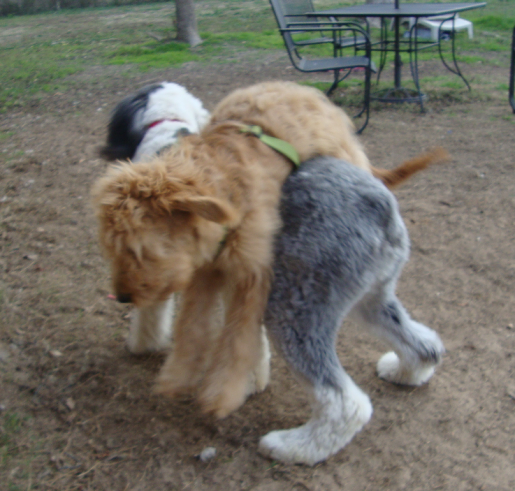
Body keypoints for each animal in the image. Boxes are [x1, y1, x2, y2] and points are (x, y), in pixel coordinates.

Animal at [92, 80, 448, 418]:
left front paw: (222, 395)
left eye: (137, 250)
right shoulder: (208, 272)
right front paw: (180, 378)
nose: (122, 296)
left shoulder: (251, 274)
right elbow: (194, 327)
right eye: (113, 248)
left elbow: (238, 340)